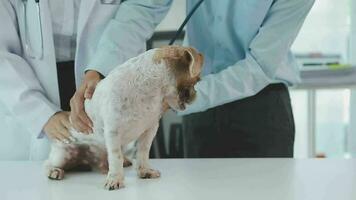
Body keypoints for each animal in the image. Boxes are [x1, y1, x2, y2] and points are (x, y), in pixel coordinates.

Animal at [44, 46, 203, 190]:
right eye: (196, 80)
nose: (196, 94)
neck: (148, 89)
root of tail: (87, 162)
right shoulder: (113, 132)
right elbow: (116, 157)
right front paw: (115, 179)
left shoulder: (149, 130)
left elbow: (143, 152)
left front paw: (145, 170)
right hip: (62, 155)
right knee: (47, 164)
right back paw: (54, 171)